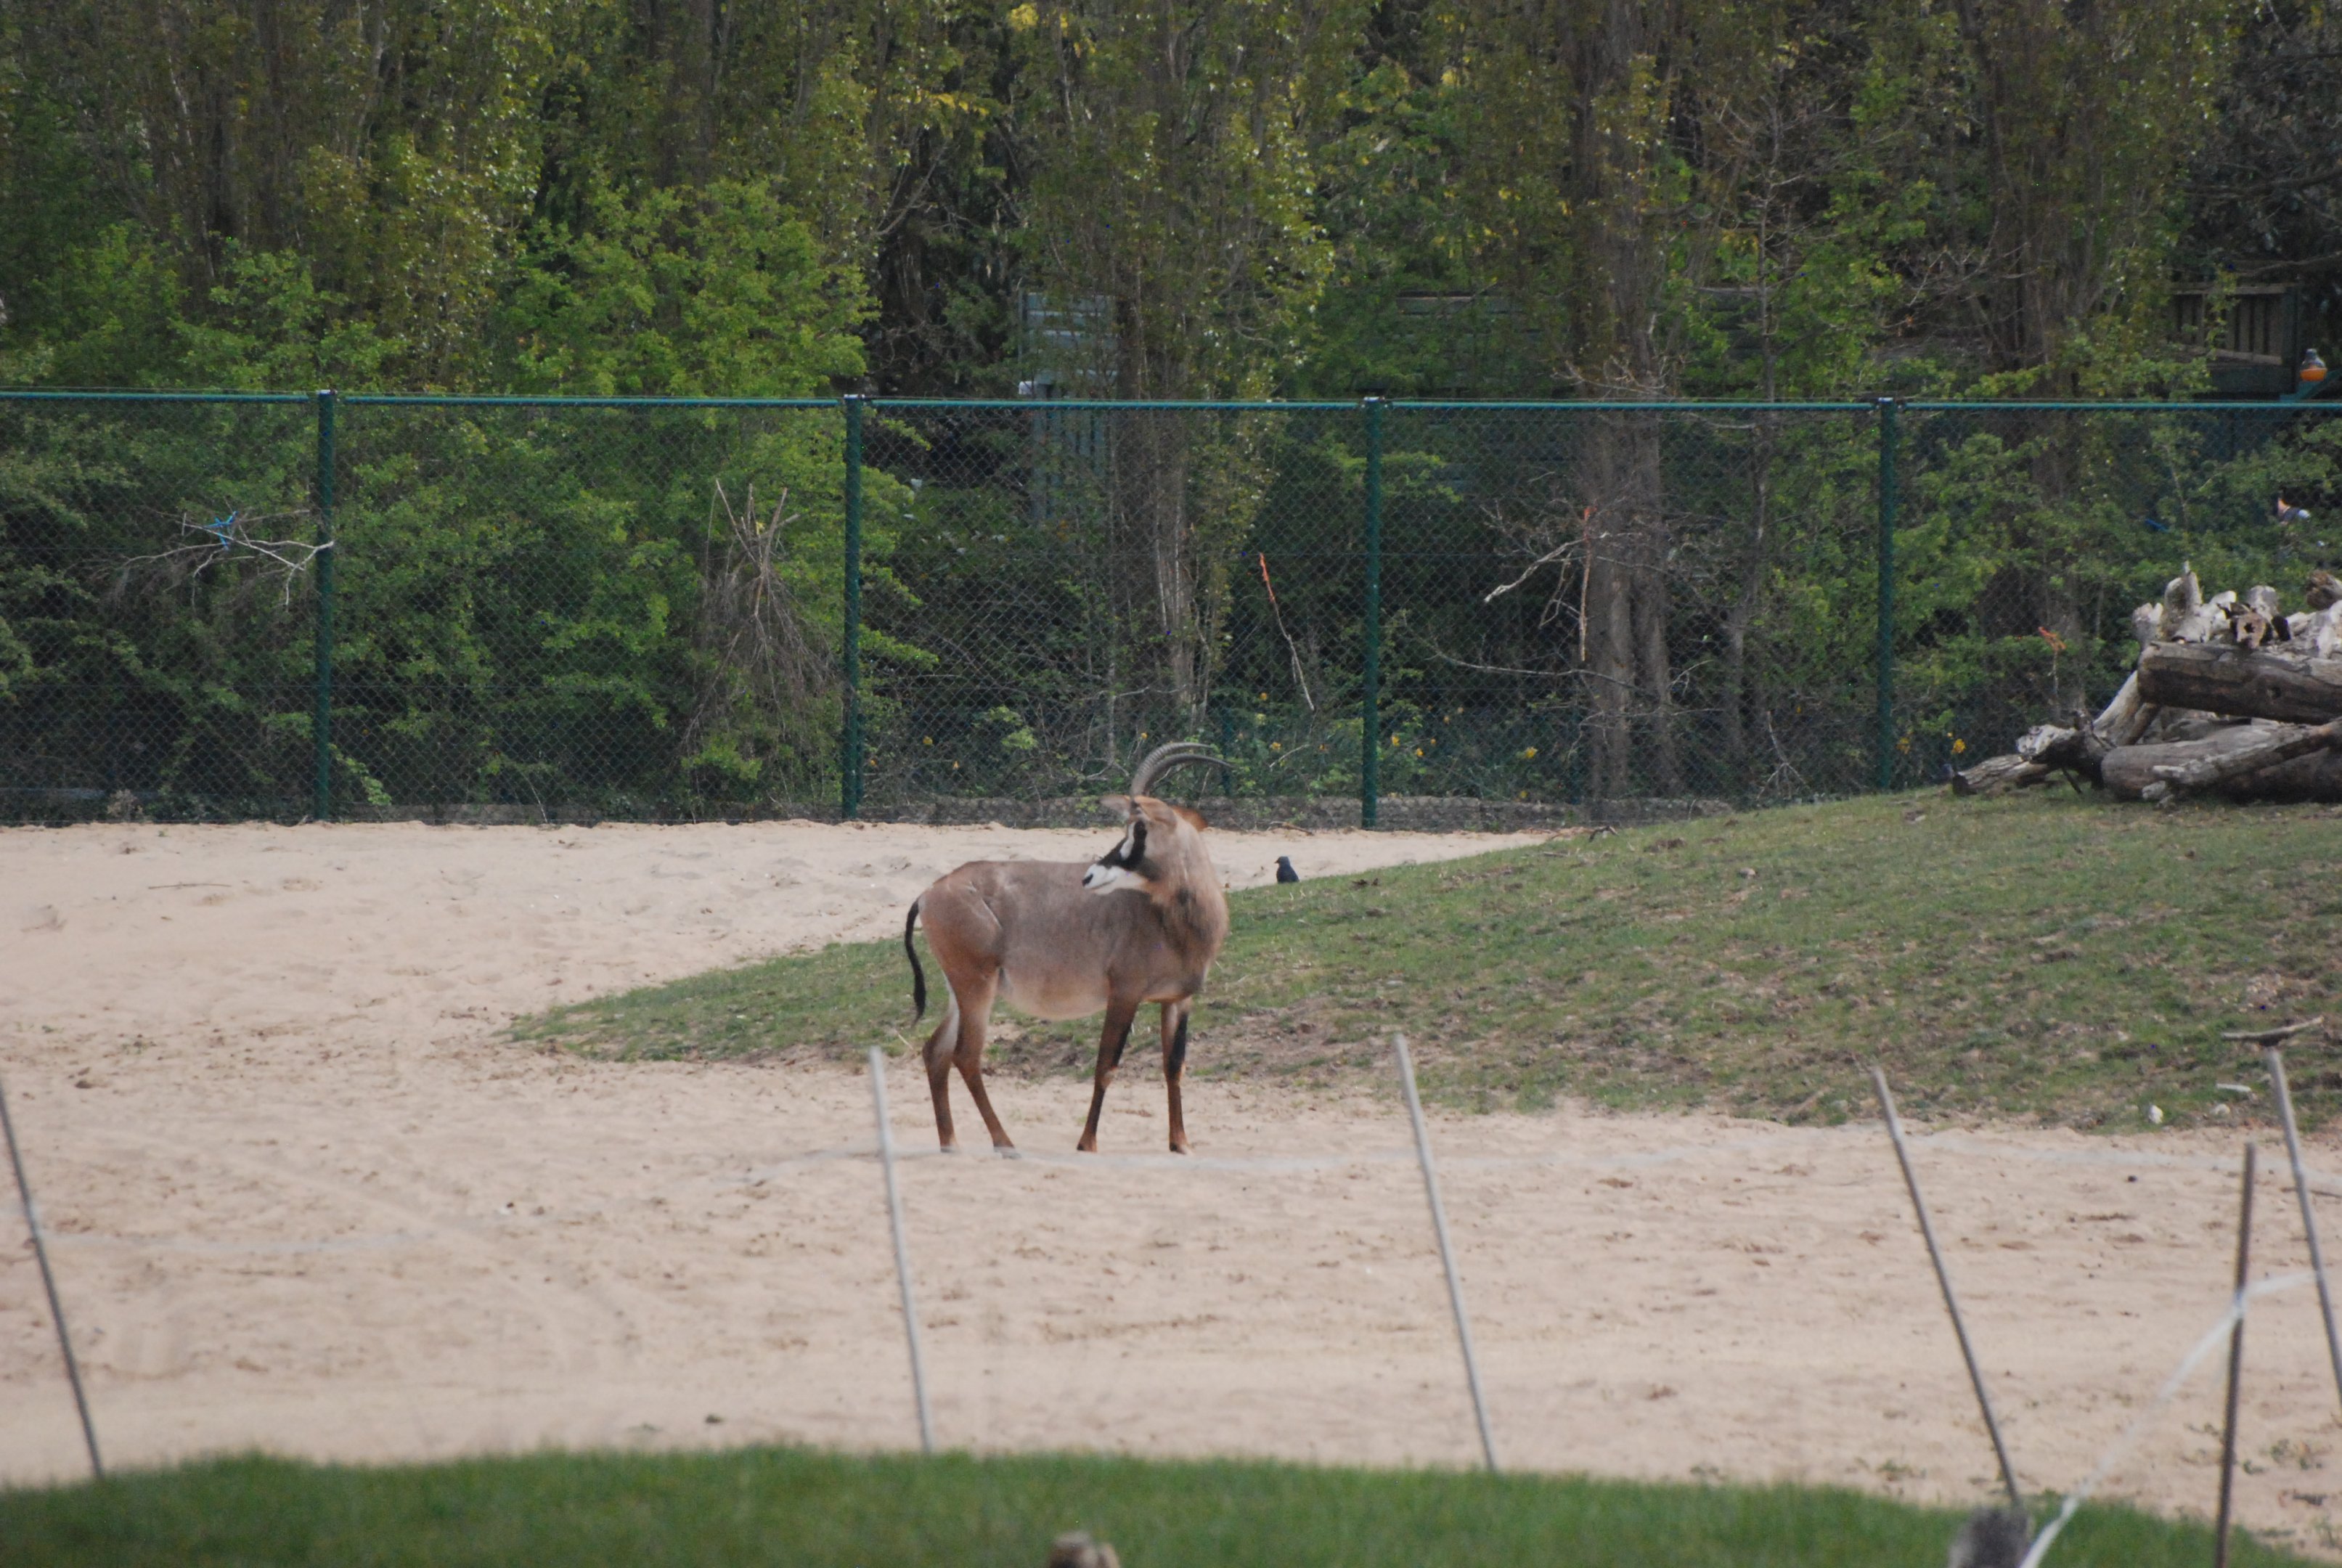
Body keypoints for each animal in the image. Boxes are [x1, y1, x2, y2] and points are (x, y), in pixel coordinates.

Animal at [901, 742, 1229, 1154]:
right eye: (1129, 825)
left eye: (1140, 828)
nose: (1090, 876)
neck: (1170, 918)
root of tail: (929, 892)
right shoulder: (1124, 995)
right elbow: (1107, 1065)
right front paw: (1087, 1143)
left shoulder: (1178, 1000)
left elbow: (1174, 1066)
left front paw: (1181, 1143)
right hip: (976, 988)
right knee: (967, 1056)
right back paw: (1004, 1143)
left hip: (960, 992)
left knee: (936, 1052)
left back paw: (951, 1143)